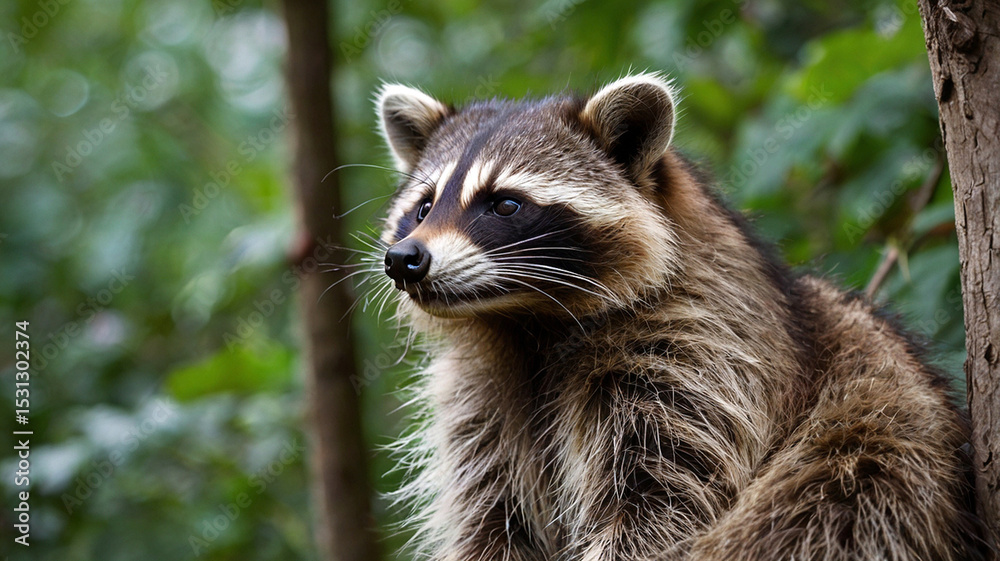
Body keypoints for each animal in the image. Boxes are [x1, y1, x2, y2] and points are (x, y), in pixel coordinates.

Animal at [369, 73, 986, 561]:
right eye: (423, 207)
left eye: (504, 203)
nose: (405, 259)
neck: (526, 320)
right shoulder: (478, 402)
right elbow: (493, 519)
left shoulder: (701, 348)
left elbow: (661, 507)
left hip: (865, 466)